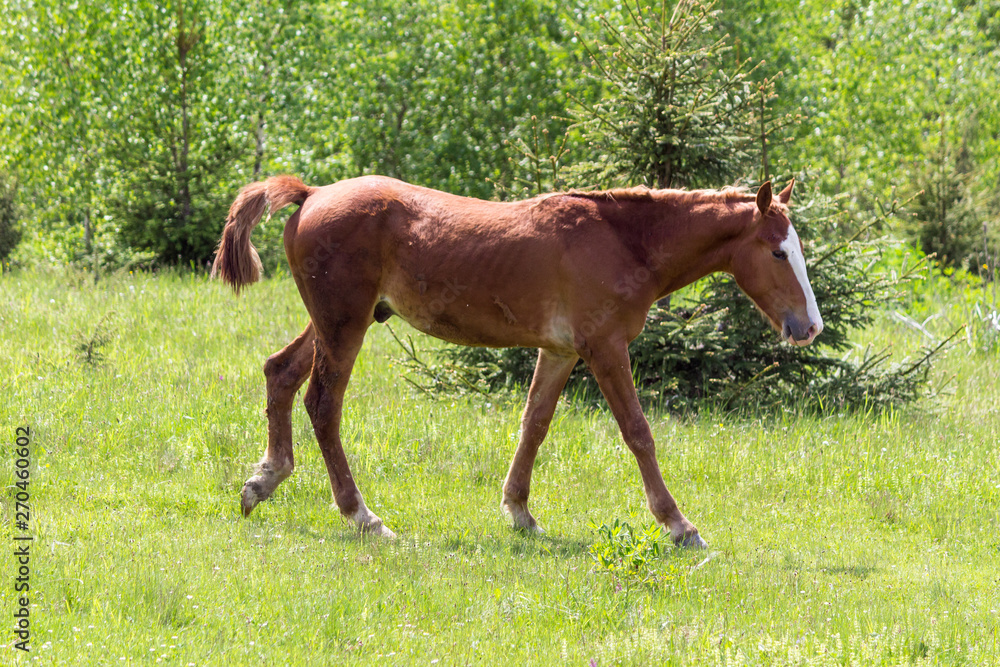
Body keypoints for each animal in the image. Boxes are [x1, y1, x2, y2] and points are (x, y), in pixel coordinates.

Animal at [212, 175, 822, 547]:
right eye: (777, 251)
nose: (810, 327)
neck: (625, 242)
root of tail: (312, 193)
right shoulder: (605, 348)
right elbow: (638, 432)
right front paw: (679, 525)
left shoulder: (559, 351)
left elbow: (535, 424)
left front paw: (519, 511)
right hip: (346, 325)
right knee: (323, 403)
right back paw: (363, 517)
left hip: (334, 321)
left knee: (280, 374)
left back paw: (263, 480)